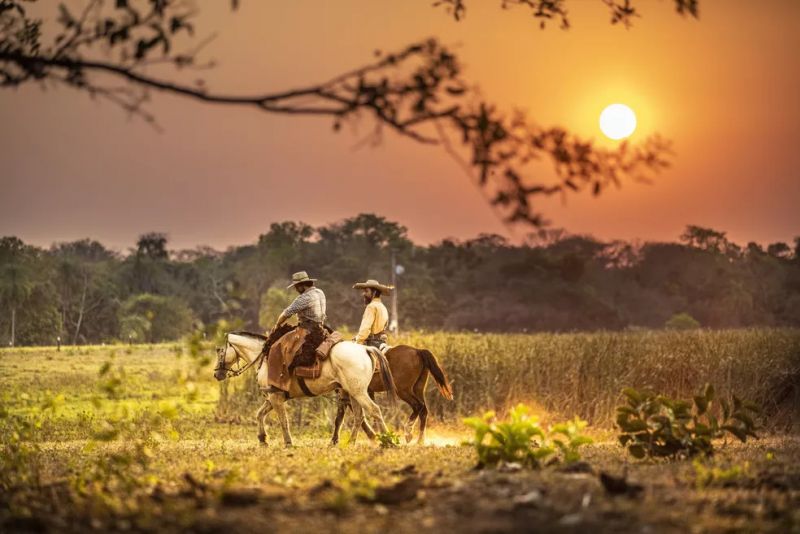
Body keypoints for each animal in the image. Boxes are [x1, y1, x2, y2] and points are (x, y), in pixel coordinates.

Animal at [214, 328, 398, 450]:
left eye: (220, 351)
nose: (217, 373)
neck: (265, 358)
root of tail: (365, 348)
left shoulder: (275, 398)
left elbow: (283, 420)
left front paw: (288, 443)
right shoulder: (273, 397)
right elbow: (259, 414)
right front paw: (262, 439)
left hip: (359, 392)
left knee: (374, 410)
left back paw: (388, 441)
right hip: (353, 393)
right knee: (359, 416)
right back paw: (351, 442)